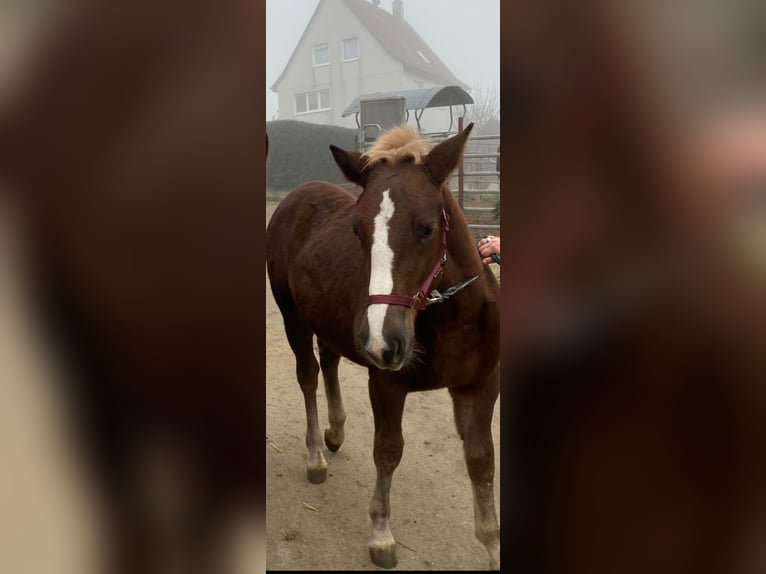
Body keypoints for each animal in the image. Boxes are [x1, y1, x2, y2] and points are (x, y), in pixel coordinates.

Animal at [266, 122, 504, 572]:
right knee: (308, 376)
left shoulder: (480, 387)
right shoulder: (387, 385)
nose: (381, 342)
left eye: (426, 227)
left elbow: (482, 462)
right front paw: (381, 535)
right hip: (294, 318)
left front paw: (493, 545)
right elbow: (389, 451)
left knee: (329, 362)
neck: (452, 319)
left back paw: (336, 430)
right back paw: (316, 455)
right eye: (357, 229)